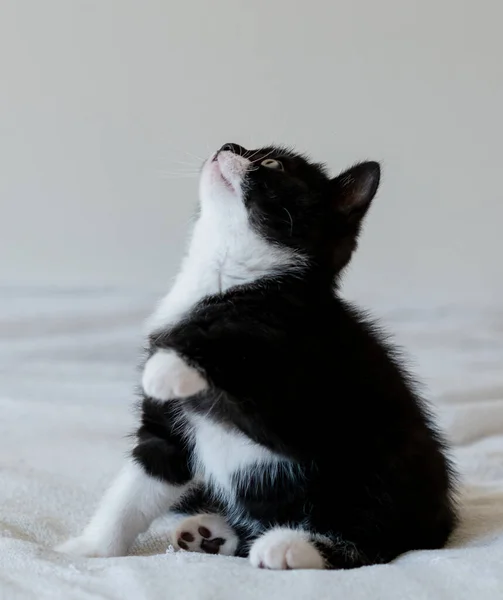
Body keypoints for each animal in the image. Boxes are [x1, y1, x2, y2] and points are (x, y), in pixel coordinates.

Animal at [57, 143, 458, 568]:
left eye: (272, 164)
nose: (228, 146)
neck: (232, 283)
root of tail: (445, 519)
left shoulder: (304, 392)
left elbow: (245, 361)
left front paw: (170, 365)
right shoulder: (166, 434)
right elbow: (134, 489)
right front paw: (90, 547)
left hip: (382, 464)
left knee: (381, 536)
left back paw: (289, 545)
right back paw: (211, 534)